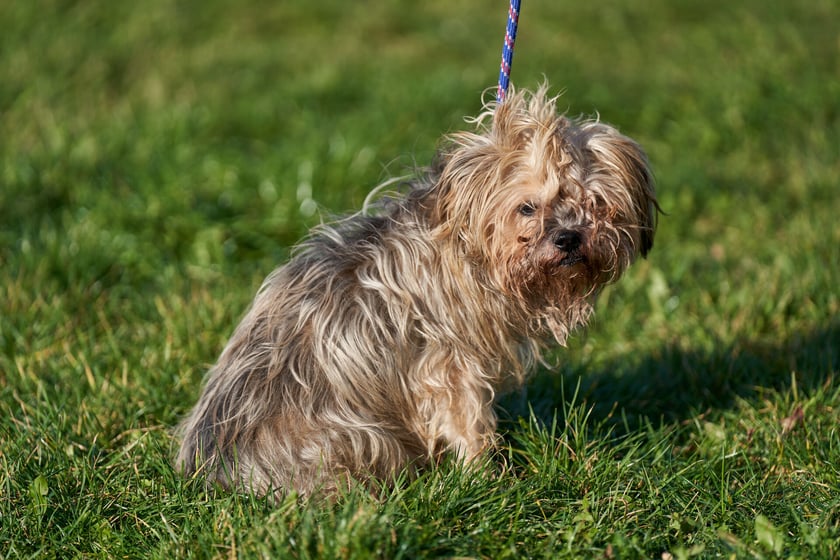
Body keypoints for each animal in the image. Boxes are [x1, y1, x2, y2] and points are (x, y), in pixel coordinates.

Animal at [174, 85, 660, 496]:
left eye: (595, 203)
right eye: (526, 207)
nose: (568, 238)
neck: (471, 246)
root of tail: (217, 471)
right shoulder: (448, 364)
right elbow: (468, 423)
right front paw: (487, 480)